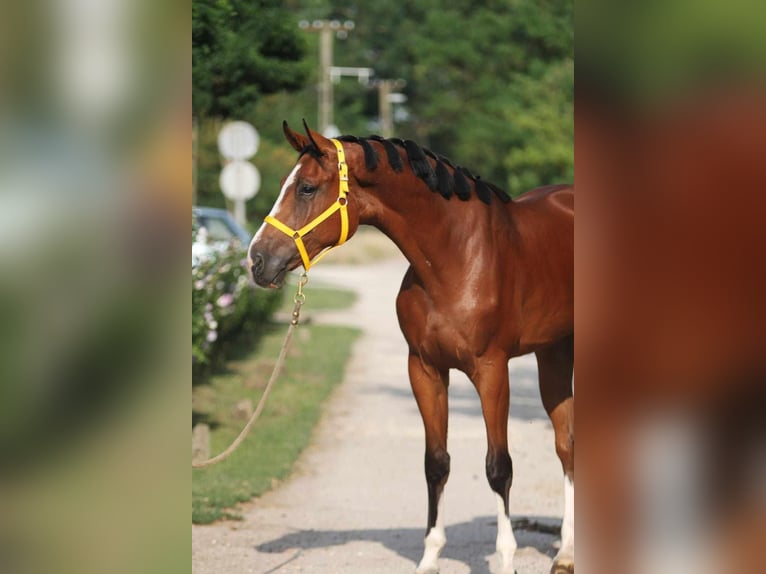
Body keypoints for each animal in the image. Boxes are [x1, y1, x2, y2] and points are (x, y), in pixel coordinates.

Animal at [249, 122, 572, 574]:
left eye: (307, 188)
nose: (257, 260)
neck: (455, 258)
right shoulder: (424, 368)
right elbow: (435, 463)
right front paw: (430, 557)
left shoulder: (492, 371)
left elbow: (498, 466)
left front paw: (506, 559)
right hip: (554, 352)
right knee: (567, 441)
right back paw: (566, 554)